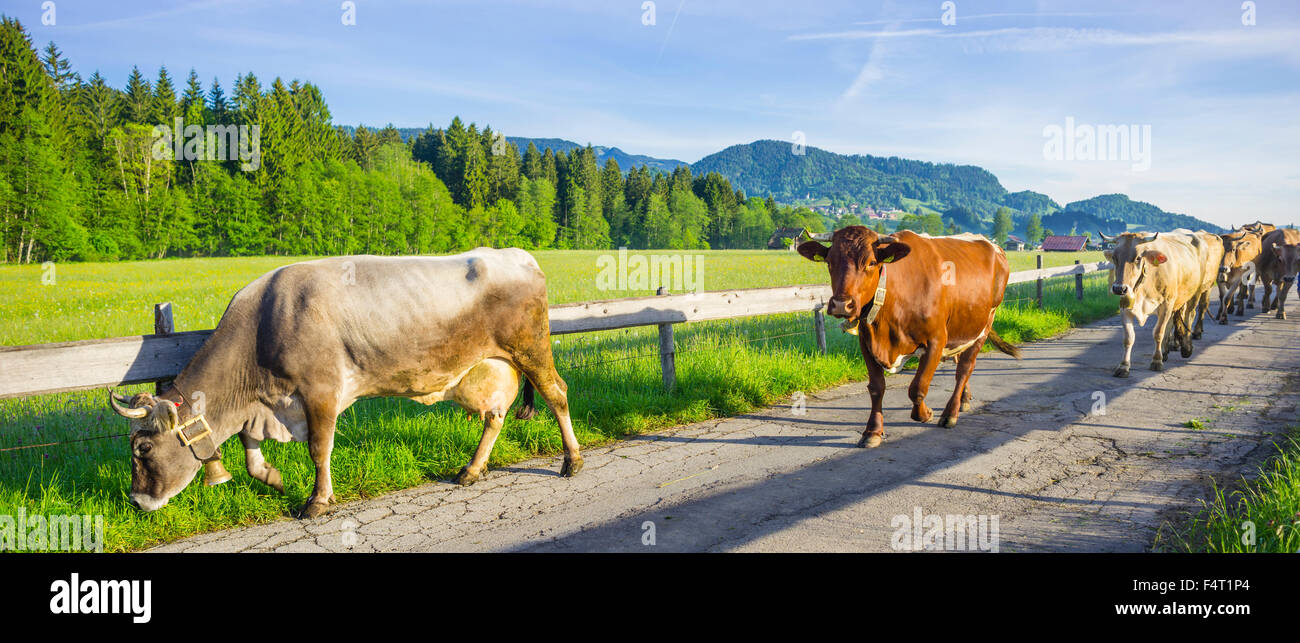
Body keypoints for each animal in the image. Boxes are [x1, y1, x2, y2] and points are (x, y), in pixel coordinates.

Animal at [108, 249, 582, 518]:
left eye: (142, 448)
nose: (136, 501)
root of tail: (519, 254)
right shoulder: (264, 404)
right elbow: (248, 447)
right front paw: (273, 477)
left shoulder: (320, 391)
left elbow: (320, 449)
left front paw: (317, 500)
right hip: (489, 365)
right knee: (495, 416)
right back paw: (471, 469)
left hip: (531, 348)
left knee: (557, 394)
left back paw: (572, 461)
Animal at [798, 228, 1020, 448]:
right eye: (829, 261)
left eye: (871, 262)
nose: (841, 305)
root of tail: (992, 245)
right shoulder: (866, 341)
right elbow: (877, 388)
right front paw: (873, 431)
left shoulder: (936, 340)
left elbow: (918, 387)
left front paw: (925, 414)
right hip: (962, 326)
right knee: (959, 359)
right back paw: (964, 399)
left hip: (985, 325)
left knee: (964, 368)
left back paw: (950, 413)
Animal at [1103, 230, 1220, 377]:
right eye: (1114, 258)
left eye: (1138, 258)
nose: (1119, 288)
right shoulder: (1125, 307)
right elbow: (1128, 338)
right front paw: (1124, 366)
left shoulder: (1166, 305)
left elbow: (1158, 333)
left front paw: (1156, 361)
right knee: (1172, 321)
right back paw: (1165, 350)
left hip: (1196, 292)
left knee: (1190, 315)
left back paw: (1186, 347)